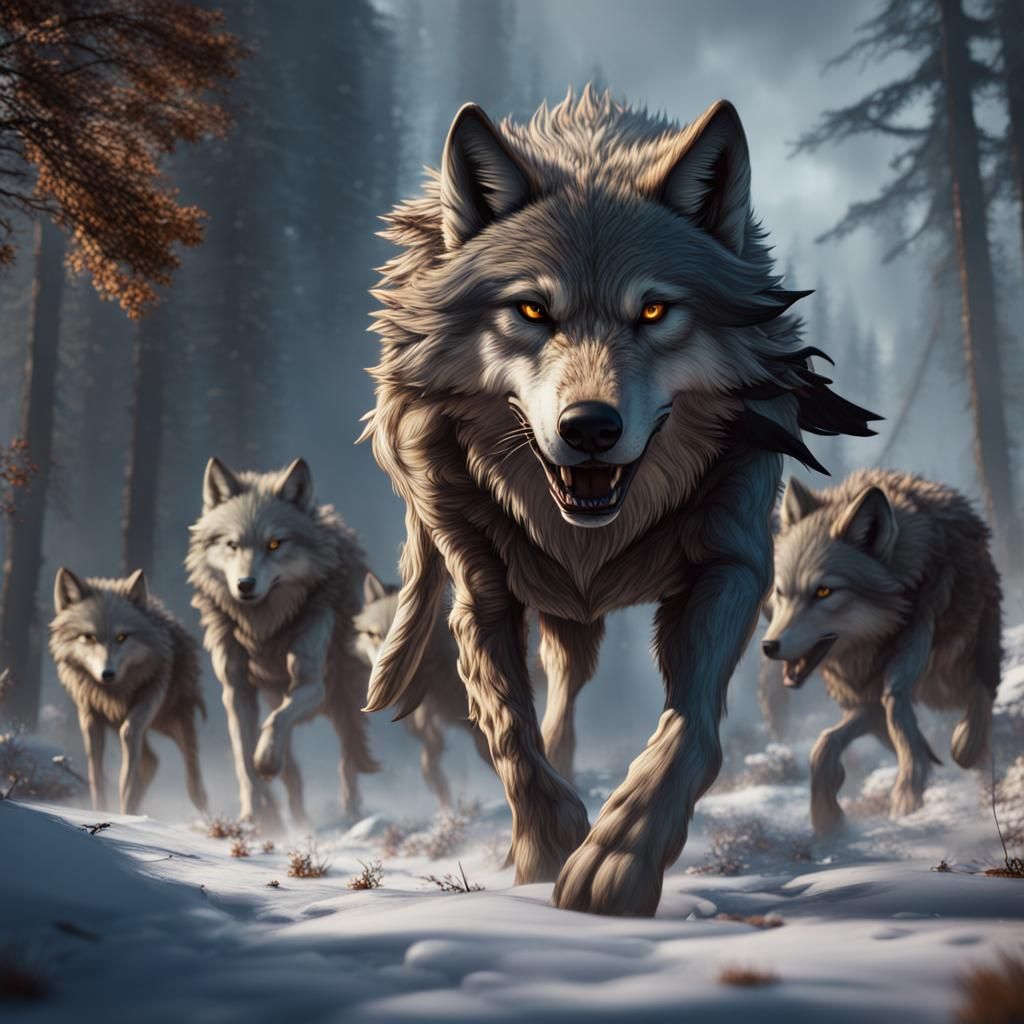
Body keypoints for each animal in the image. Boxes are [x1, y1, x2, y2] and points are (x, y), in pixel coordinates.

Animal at [48, 568, 208, 815]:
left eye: (122, 637)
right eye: (89, 637)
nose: (107, 674)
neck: (116, 691)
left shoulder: (145, 703)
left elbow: (129, 742)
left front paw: (123, 814)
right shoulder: (90, 716)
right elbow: (95, 774)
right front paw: (101, 811)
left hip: (172, 719)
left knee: (191, 773)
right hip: (124, 722)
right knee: (152, 761)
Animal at [186, 457, 377, 831]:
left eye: (275, 544)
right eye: (232, 545)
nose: (245, 585)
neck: (263, 629)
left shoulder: (311, 683)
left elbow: (273, 727)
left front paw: (266, 761)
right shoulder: (236, 690)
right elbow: (244, 758)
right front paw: (254, 815)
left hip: (346, 698)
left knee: (347, 760)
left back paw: (351, 814)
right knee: (295, 772)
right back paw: (295, 817)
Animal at [761, 470, 1002, 834]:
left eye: (823, 591)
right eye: (780, 591)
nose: (769, 646)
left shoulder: (918, 642)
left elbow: (901, 702)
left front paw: (910, 789)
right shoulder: (864, 699)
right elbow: (824, 744)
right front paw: (828, 818)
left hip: (952, 666)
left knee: (979, 687)